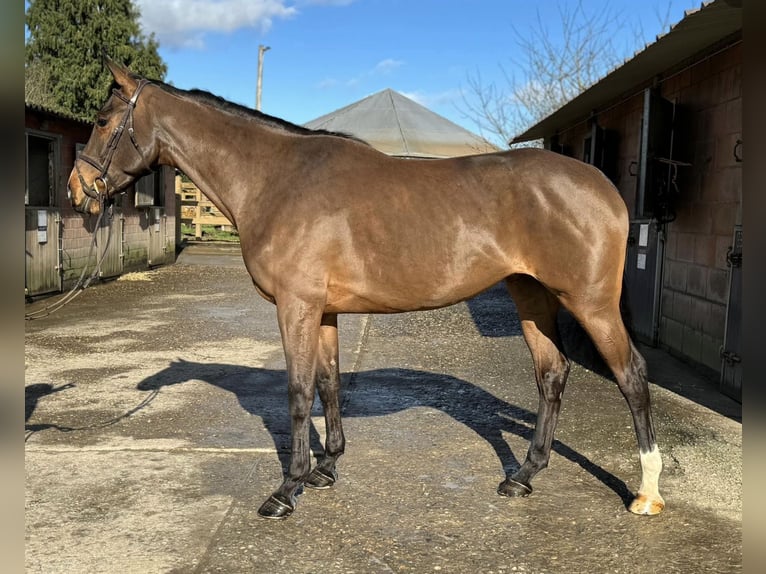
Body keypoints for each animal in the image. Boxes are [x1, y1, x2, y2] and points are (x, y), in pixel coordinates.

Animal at [67, 59, 664, 520]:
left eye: (101, 120)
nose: (78, 189)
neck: (277, 179)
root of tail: (603, 187)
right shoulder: (324, 311)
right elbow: (329, 384)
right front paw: (326, 468)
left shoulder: (296, 306)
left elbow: (297, 392)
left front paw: (287, 490)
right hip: (531, 296)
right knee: (551, 374)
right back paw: (523, 475)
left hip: (589, 303)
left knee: (632, 376)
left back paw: (647, 493)